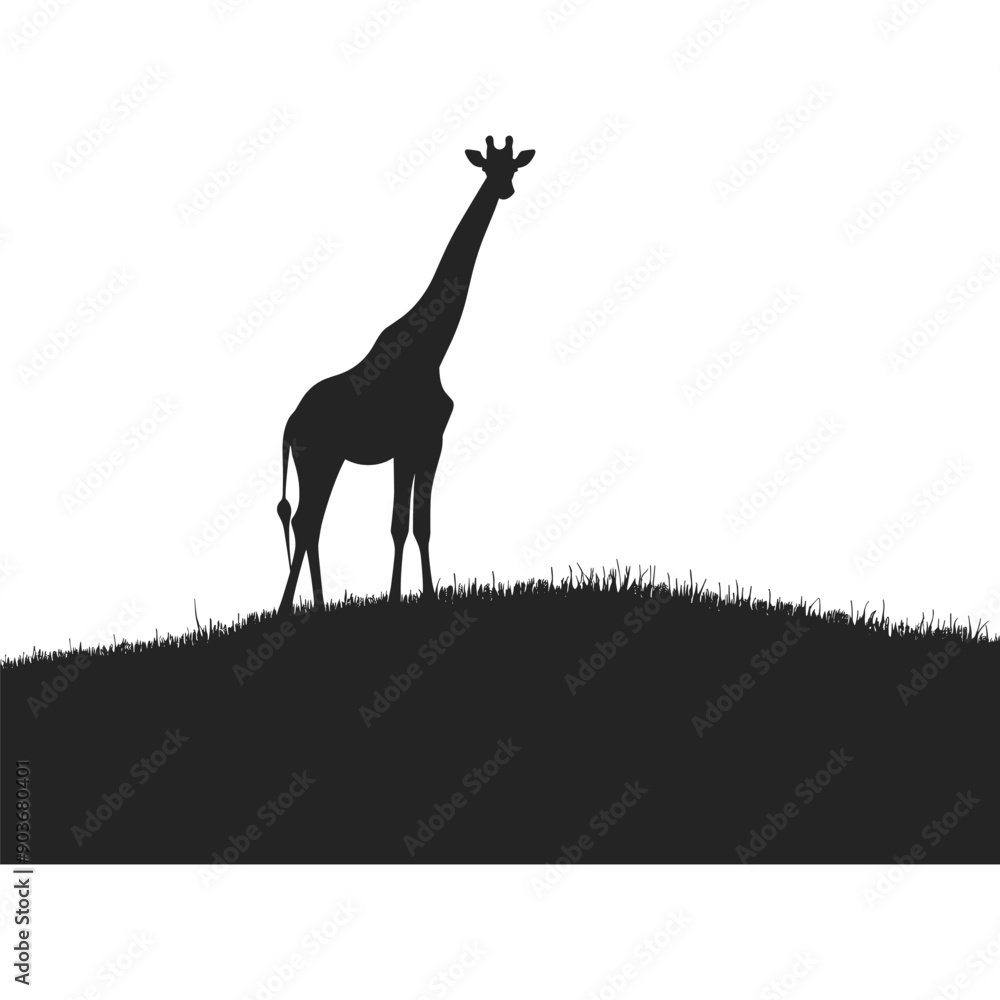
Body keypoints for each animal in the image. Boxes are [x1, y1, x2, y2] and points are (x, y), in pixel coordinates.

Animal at [275, 135, 534, 616]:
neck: (432, 348)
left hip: (320, 460)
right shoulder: (418, 440)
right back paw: (290, 609)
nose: (505, 190)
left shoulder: (420, 444)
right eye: (487, 167)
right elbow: (408, 524)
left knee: (309, 521)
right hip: (320, 458)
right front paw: (410, 598)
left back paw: (315, 606)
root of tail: (290, 424)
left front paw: (416, 596)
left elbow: (415, 523)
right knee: (305, 520)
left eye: (513, 167)